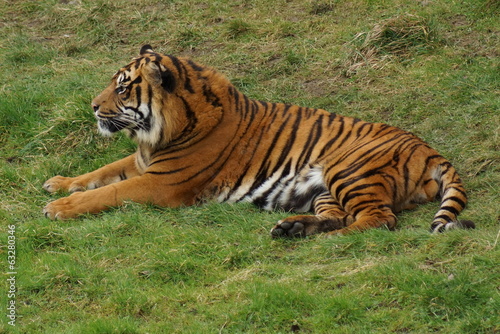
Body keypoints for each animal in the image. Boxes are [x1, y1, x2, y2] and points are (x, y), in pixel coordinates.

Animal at [42, 44, 472, 236]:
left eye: (122, 88)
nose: (92, 107)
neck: (161, 134)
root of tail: (430, 150)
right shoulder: (142, 162)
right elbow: (101, 172)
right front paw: (59, 183)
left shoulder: (161, 183)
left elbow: (108, 191)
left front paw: (59, 208)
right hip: (326, 190)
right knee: (342, 216)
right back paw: (292, 228)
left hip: (348, 171)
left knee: (379, 220)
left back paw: (323, 239)